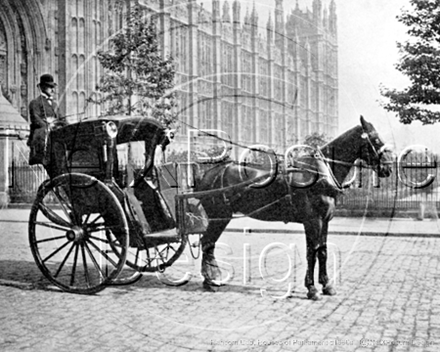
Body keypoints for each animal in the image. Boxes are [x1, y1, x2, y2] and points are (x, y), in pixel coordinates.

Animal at [194, 115, 394, 300]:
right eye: (375, 139)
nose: (388, 168)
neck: (318, 173)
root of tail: (208, 174)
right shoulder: (312, 221)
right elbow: (311, 252)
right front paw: (312, 288)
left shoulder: (325, 221)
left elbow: (323, 252)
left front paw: (326, 285)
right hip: (219, 217)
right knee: (207, 243)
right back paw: (210, 281)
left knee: (209, 245)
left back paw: (212, 279)